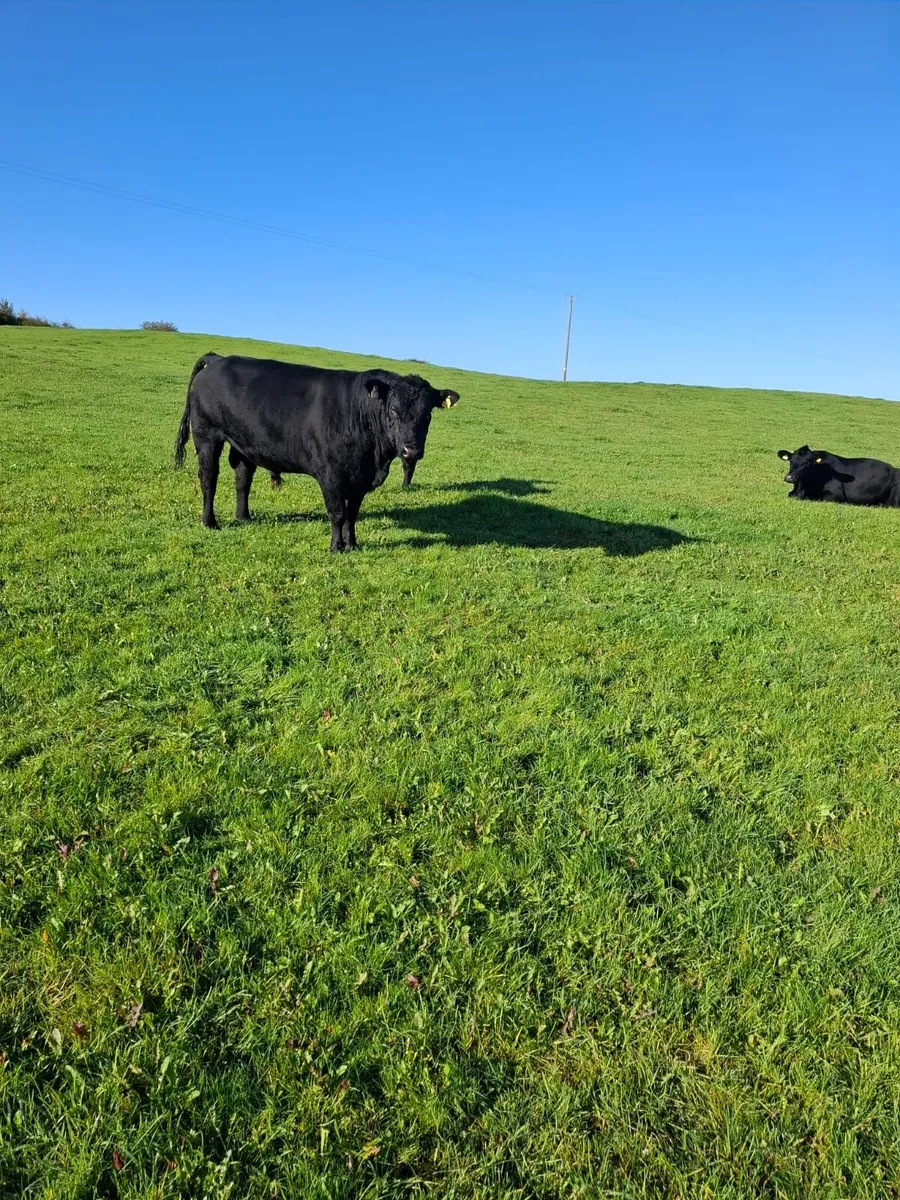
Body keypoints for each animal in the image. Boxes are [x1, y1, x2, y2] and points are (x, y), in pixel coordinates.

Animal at [174, 353, 459, 551]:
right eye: (393, 410)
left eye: (427, 413)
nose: (411, 450)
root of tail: (218, 359)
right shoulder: (331, 475)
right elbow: (337, 513)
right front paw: (336, 547)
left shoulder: (360, 478)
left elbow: (352, 514)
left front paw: (352, 544)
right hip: (207, 435)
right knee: (209, 478)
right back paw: (210, 522)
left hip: (243, 444)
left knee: (243, 478)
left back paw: (243, 517)